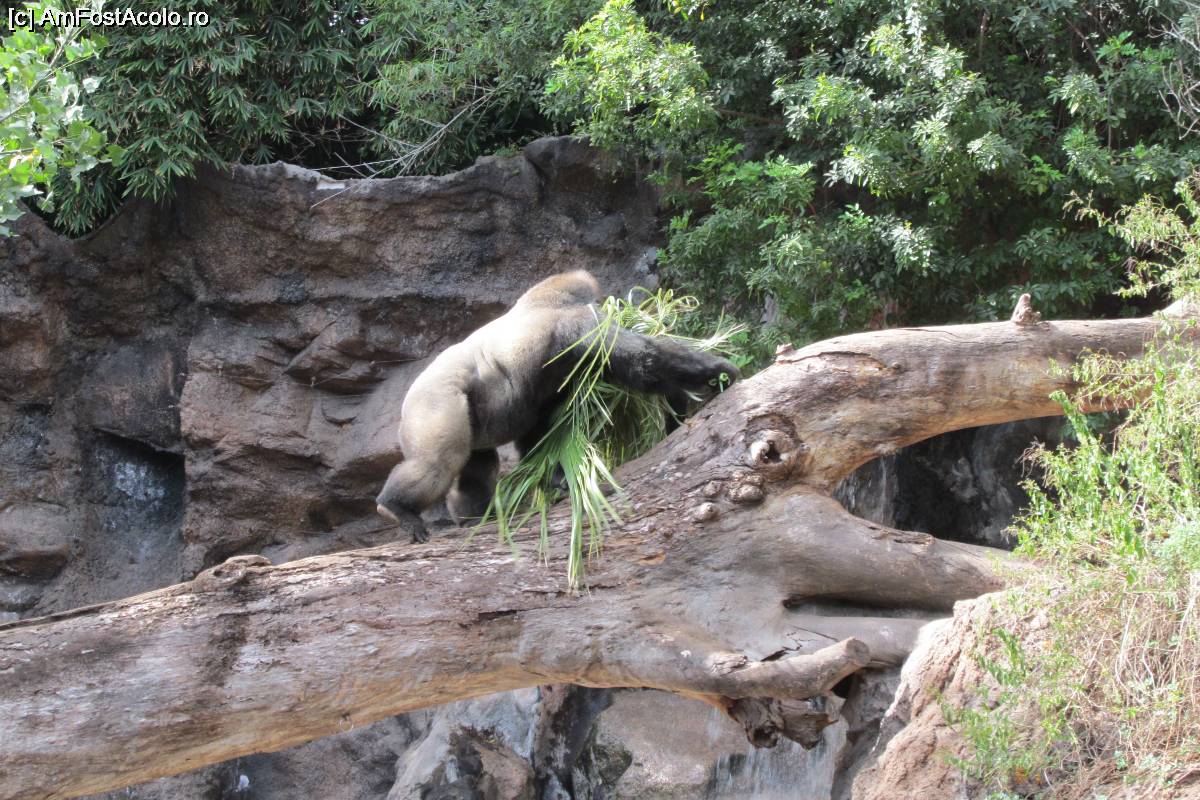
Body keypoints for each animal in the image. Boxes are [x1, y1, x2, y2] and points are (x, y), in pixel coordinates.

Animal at [375, 270, 739, 542]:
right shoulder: (582, 322)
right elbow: (648, 363)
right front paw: (715, 370)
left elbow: (539, 433)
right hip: (433, 401)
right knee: (439, 461)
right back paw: (396, 507)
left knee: (477, 463)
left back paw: (472, 515)